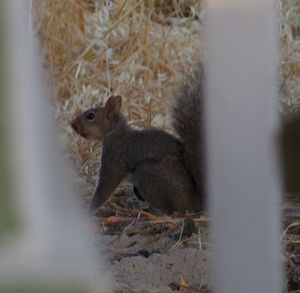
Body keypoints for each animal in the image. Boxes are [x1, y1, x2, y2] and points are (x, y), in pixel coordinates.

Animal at [70, 65, 204, 213]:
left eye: (90, 116)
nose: (72, 124)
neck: (116, 134)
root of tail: (193, 200)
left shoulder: (114, 159)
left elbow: (104, 188)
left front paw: (89, 209)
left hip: (145, 172)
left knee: (170, 211)